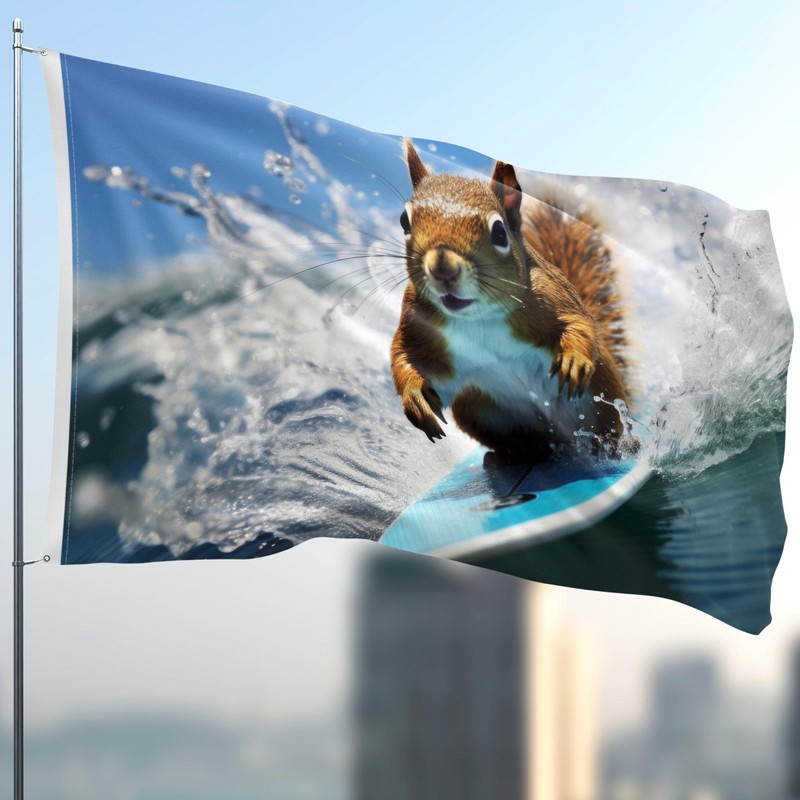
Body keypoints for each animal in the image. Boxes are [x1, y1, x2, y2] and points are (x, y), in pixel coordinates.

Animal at [390, 138, 633, 464]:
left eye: (499, 232)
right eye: (404, 220)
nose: (443, 268)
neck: (478, 318)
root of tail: (565, 442)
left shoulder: (550, 296)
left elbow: (578, 323)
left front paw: (573, 360)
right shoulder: (420, 324)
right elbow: (406, 357)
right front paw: (416, 398)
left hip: (601, 399)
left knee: (609, 430)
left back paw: (619, 446)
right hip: (480, 409)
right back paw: (515, 452)